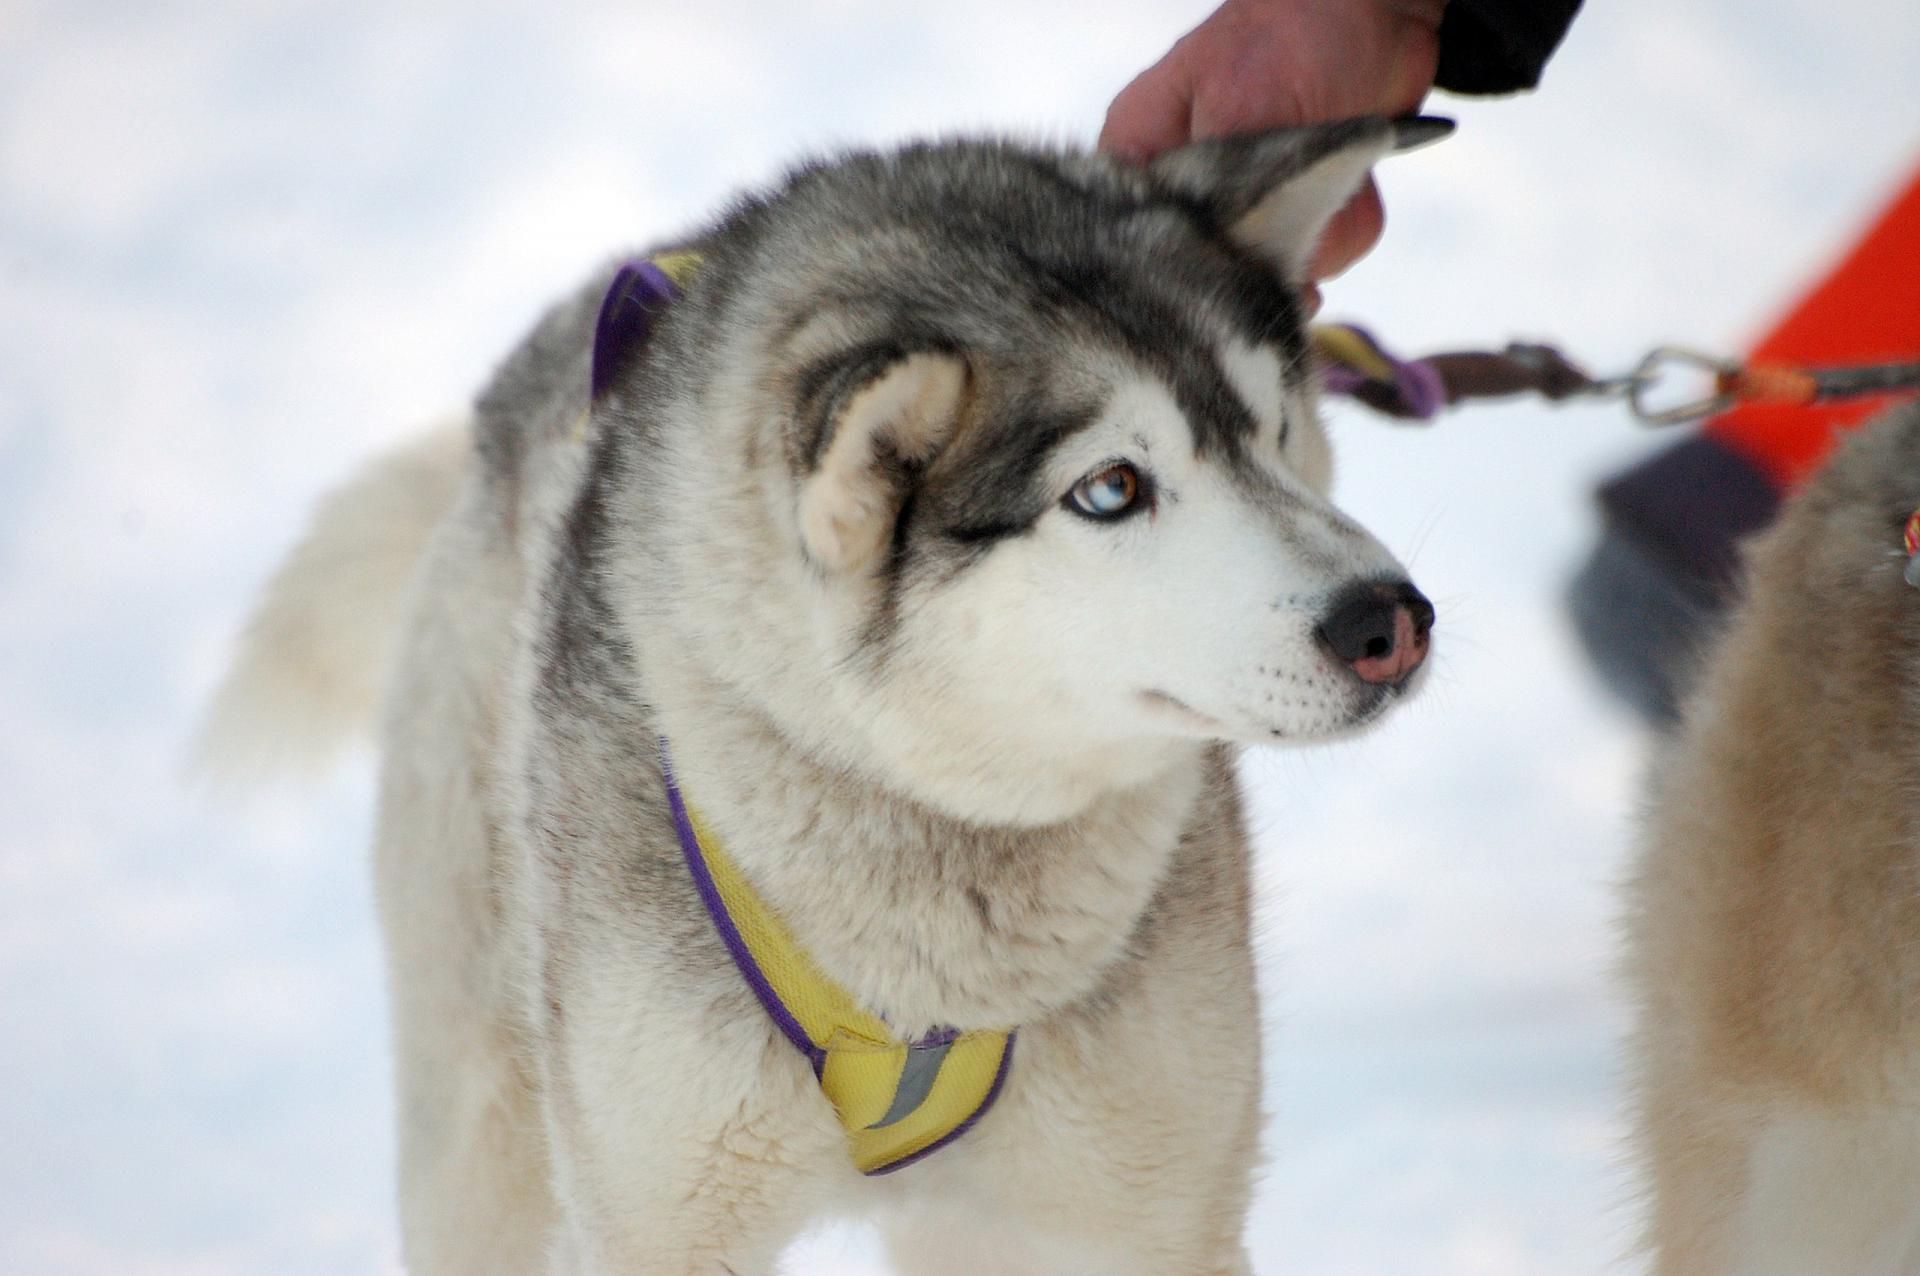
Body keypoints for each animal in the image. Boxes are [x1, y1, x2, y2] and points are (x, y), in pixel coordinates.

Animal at [206, 114, 1443, 1266]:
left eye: (1274, 430)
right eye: (1110, 489)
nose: (1390, 622)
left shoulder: (1144, 1207)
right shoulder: (658, 1214)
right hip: (484, 1119)